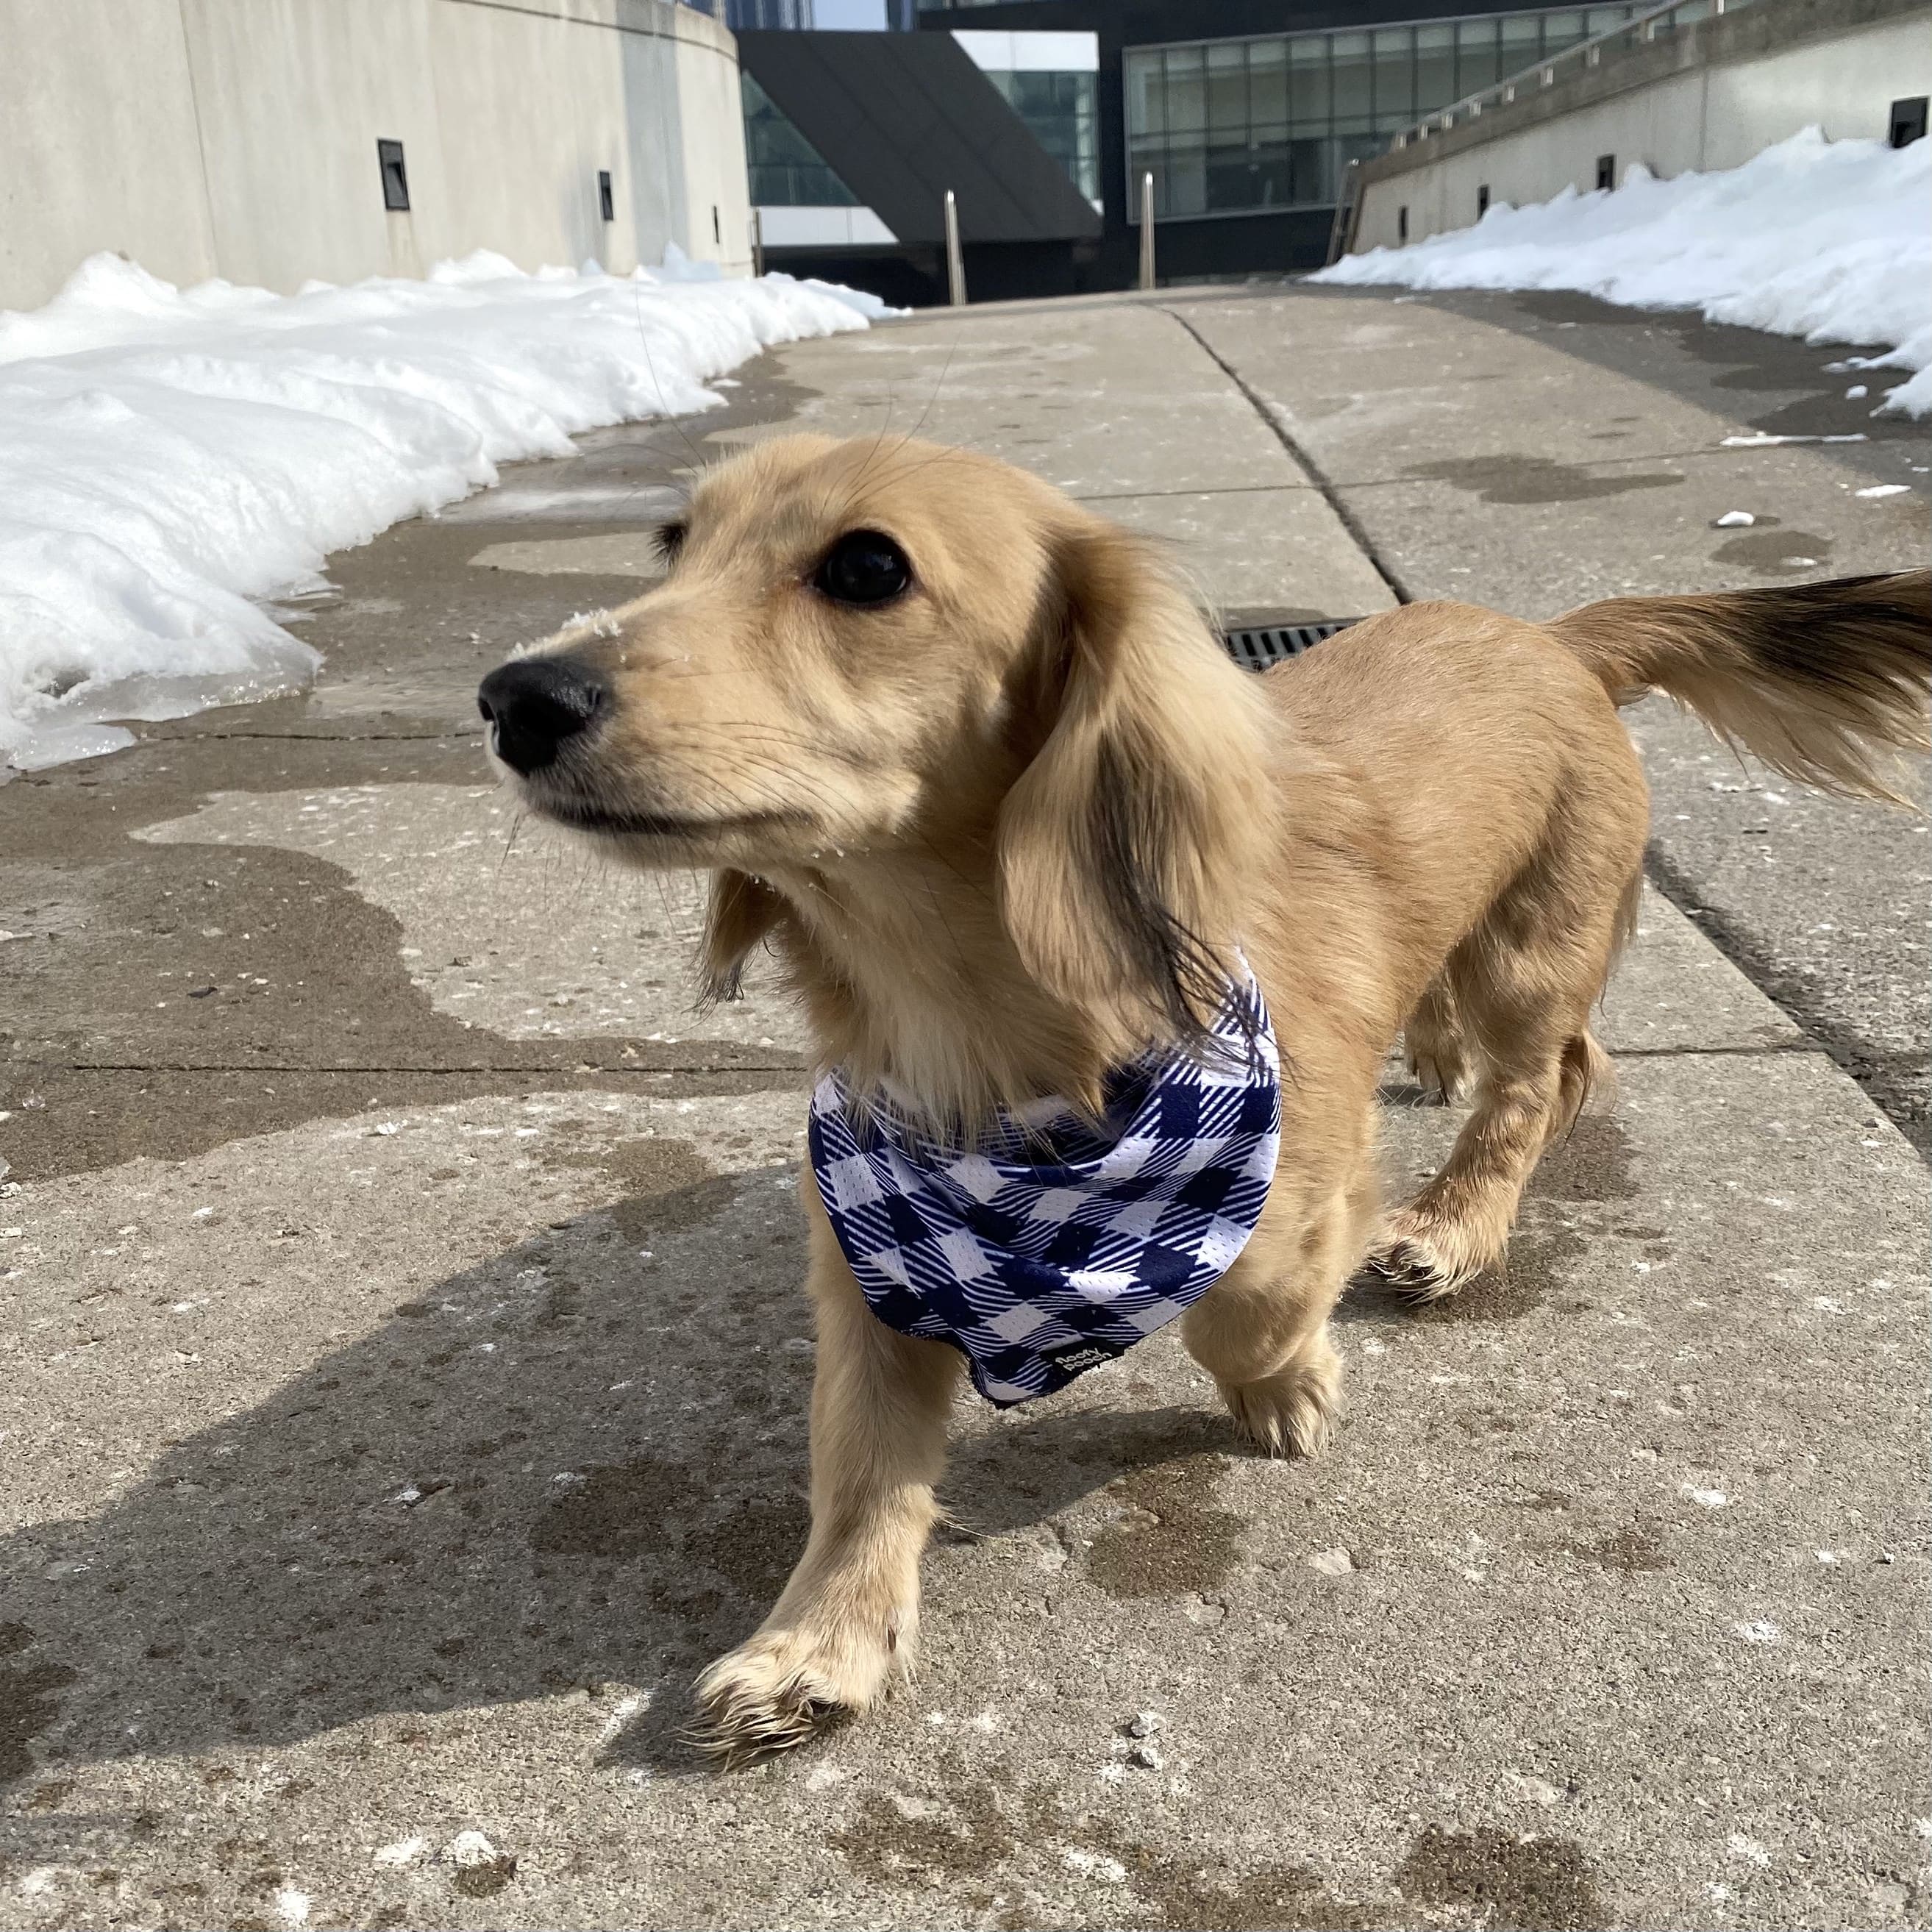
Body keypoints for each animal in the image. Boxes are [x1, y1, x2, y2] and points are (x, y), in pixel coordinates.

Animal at [471, 430, 1932, 1761]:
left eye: (867, 566)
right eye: (673, 544)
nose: (511, 697)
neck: (988, 1051)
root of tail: (1550, 636)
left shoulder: (1284, 1181)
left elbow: (1245, 1309)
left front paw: (1290, 1382)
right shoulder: (871, 1261)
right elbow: (860, 1469)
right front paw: (819, 1640)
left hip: (1530, 953)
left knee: (1550, 1076)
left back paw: (1458, 1223)